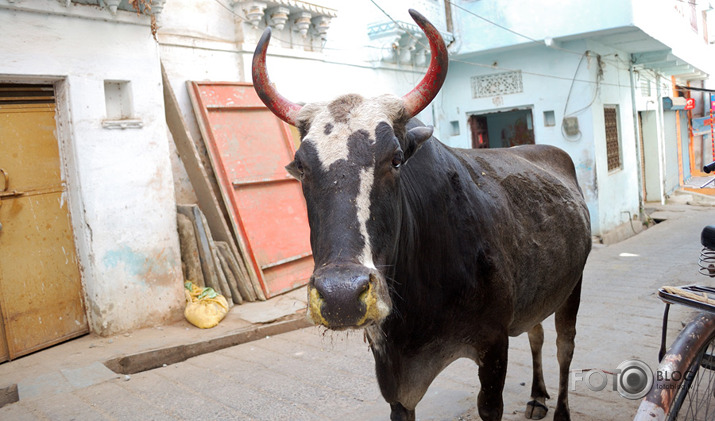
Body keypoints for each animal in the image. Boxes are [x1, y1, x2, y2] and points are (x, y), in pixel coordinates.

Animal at [252, 9, 592, 420]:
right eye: (300, 166)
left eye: (396, 159)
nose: (341, 296)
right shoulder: (393, 376)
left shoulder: (494, 347)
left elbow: (491, 403)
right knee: (537, 333)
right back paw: (538, 396)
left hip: (573, 283)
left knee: (564, 345)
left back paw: (560, 408)